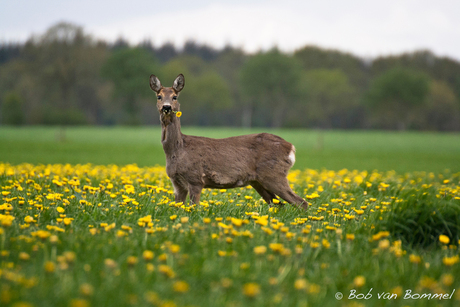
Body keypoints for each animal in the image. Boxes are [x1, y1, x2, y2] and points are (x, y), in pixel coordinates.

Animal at [151, 73, 310, 211]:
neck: (178, 149)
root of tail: (291, 147)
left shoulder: (195, 179)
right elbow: (178, 208)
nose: (166, 107)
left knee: (301, 202)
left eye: (174, 97)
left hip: (274, 174)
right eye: (159, 96)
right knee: (278, 204)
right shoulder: (177, 183)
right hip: (259, 181)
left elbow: (193, 208)